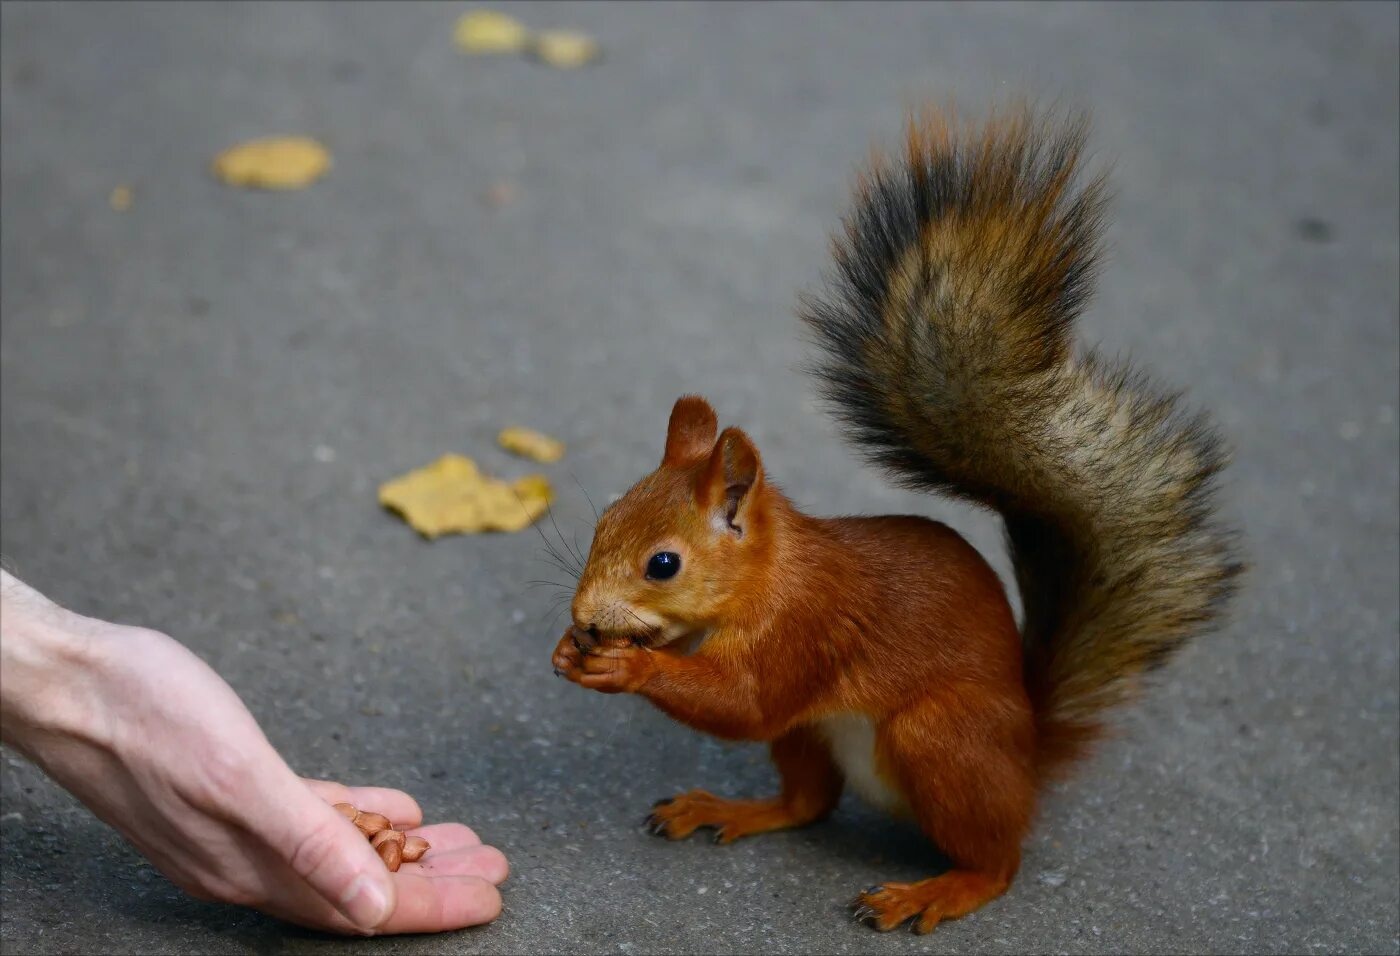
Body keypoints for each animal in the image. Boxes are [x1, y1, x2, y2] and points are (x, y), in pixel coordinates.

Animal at [551, 104, 1243, 935]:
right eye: (604, 522)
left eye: (663, 563)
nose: (584, 614)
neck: (769, 577)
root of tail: (1029, 751)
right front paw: (577, 648)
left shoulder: (809, 629)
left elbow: (745, 704)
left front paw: (628, 665)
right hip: (813, 736)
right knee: (809, 803)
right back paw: (733, 809)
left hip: (940, 739)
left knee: (998, 860)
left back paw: (938, 890)